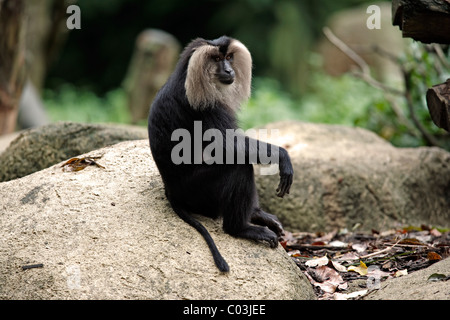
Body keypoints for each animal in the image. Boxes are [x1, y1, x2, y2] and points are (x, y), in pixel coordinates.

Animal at [149, 35, 296, 272]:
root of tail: (171, 192)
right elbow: (228, 145)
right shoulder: (205, 104)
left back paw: (255, 215)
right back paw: (240, 228)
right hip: (198, 194)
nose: (228, 70)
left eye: (228, 57)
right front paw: (283, 156)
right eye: (216, 59)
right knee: (238, 165)